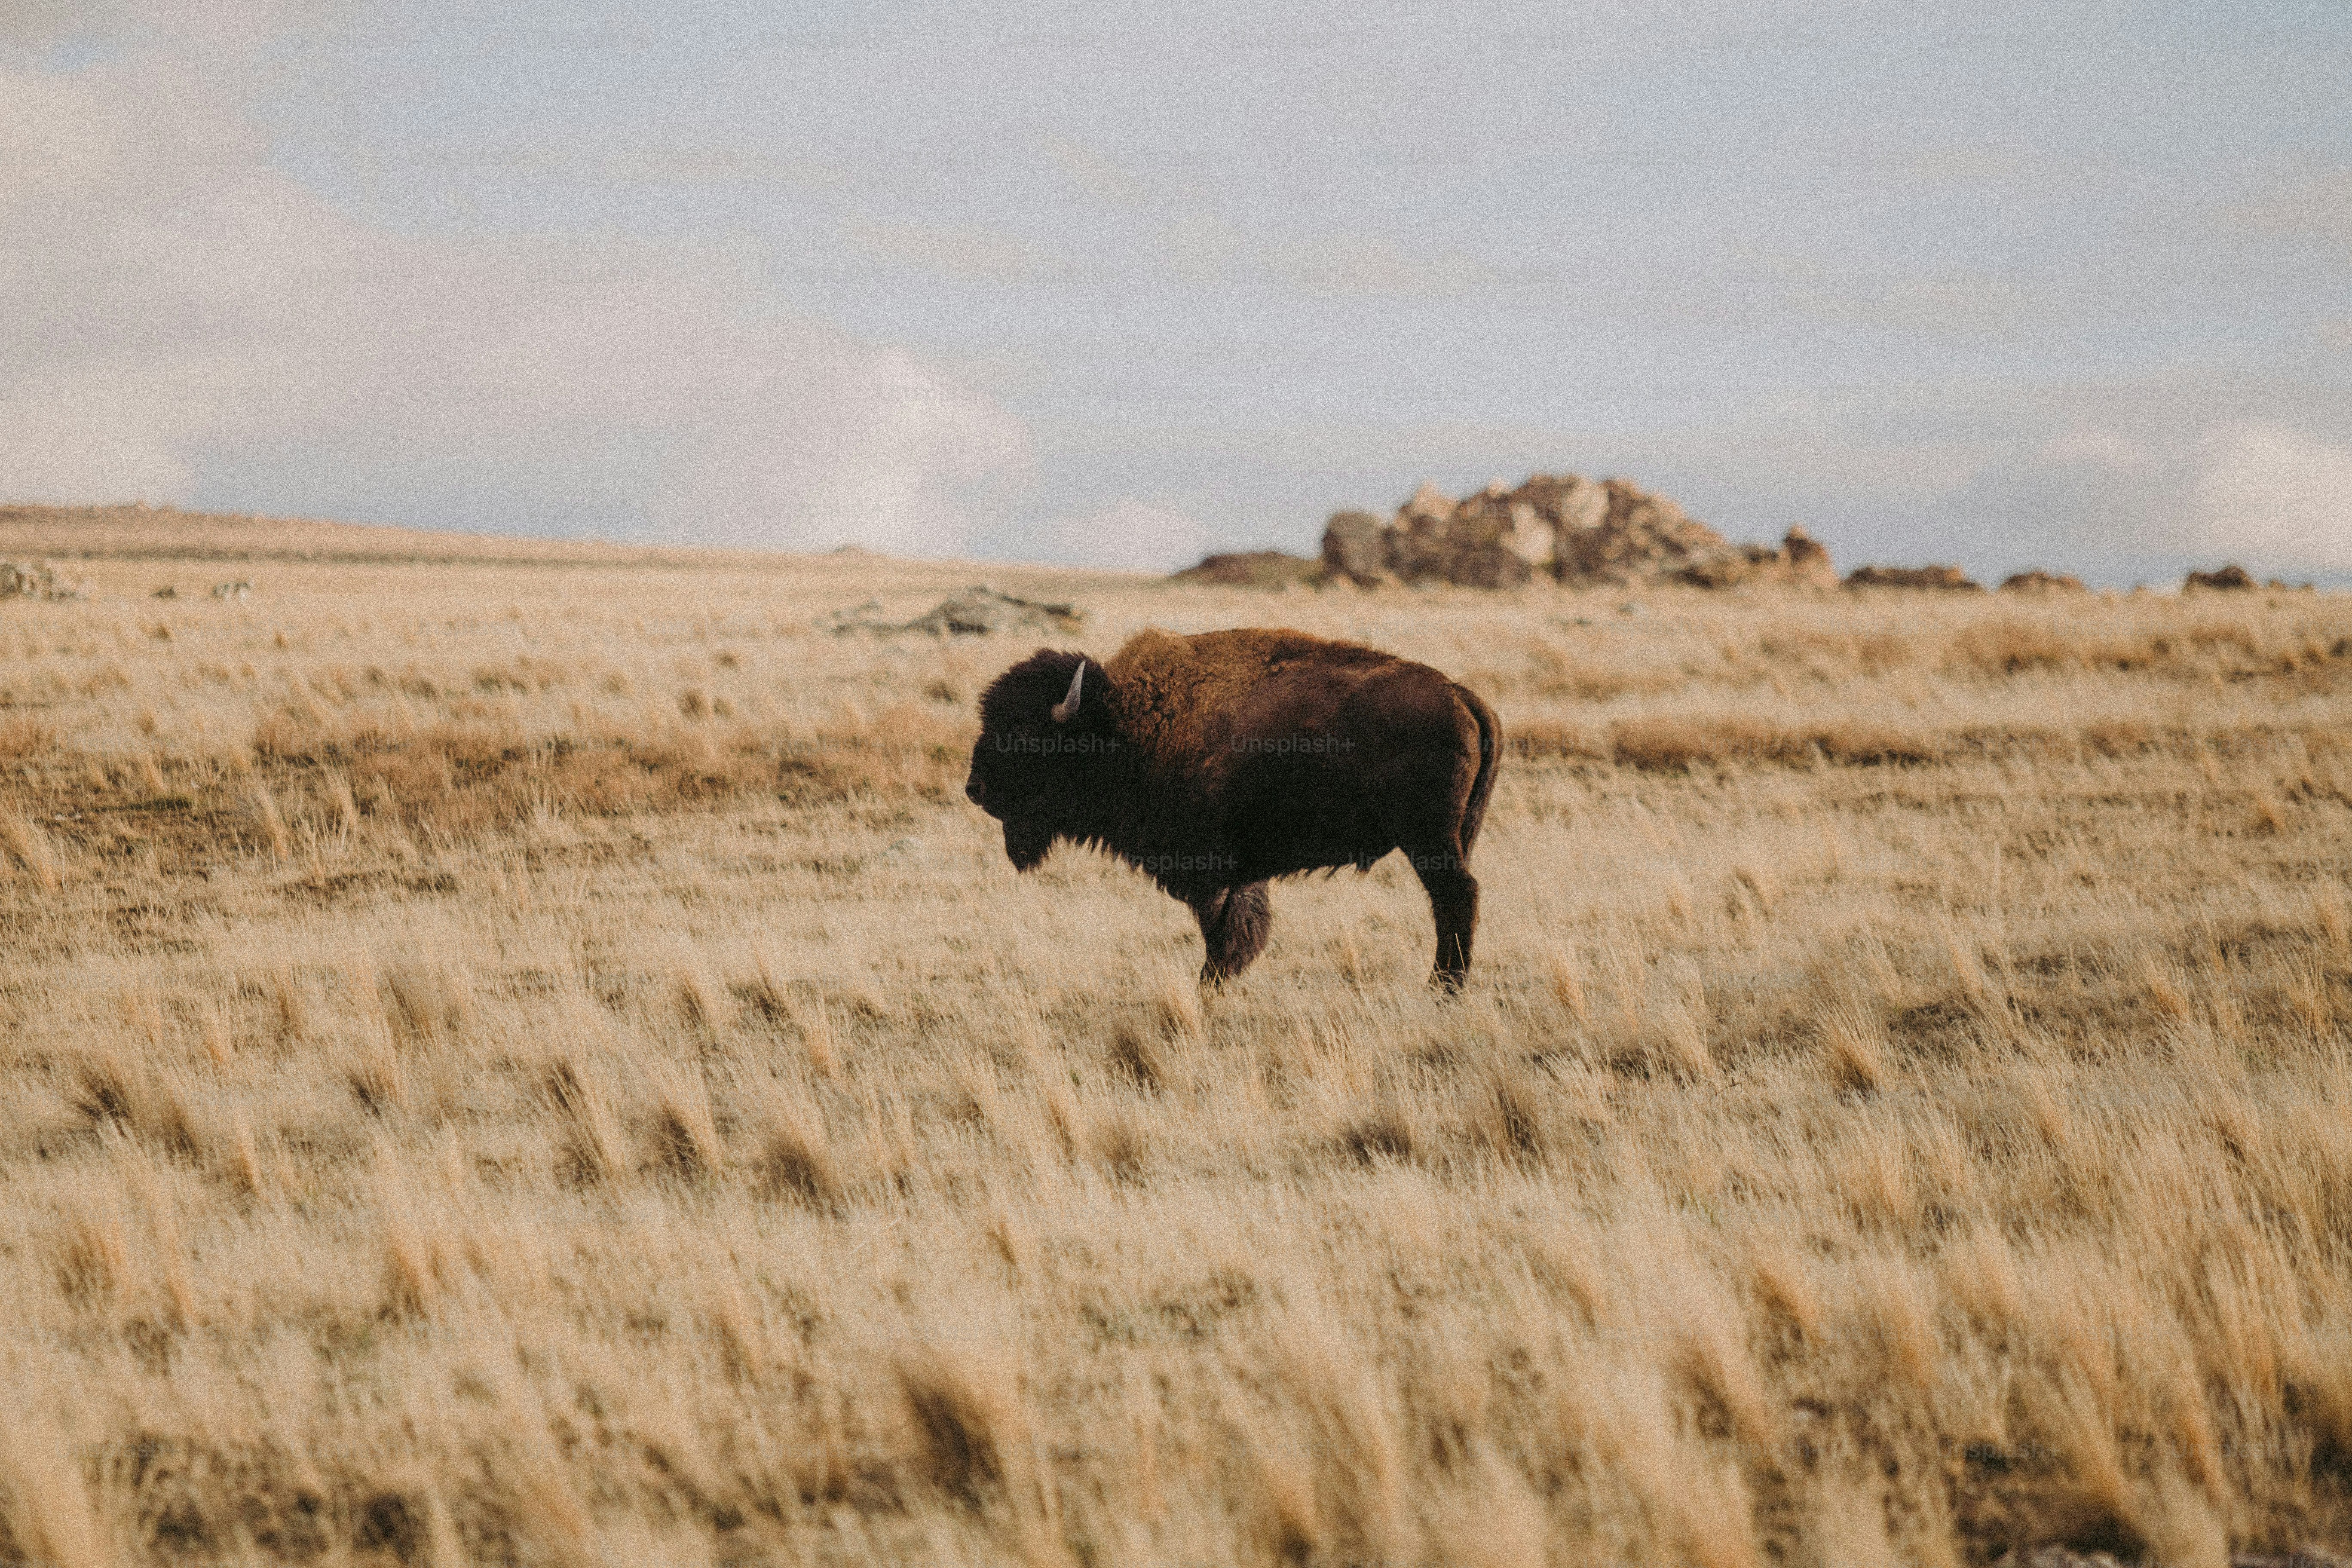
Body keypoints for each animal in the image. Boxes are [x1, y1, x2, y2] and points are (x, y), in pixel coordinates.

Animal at [964, 628, 1500, 989]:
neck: (1121, 725)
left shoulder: (1209, 869)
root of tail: (1460, 695)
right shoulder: (1242, 872)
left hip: (1428, 840)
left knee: (1457, 898)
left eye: (1025, 734)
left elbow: (1222, 932)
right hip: (1457, 838)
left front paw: (1209, 986)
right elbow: (1243, 926)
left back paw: (1442, 990)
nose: (975, 788)